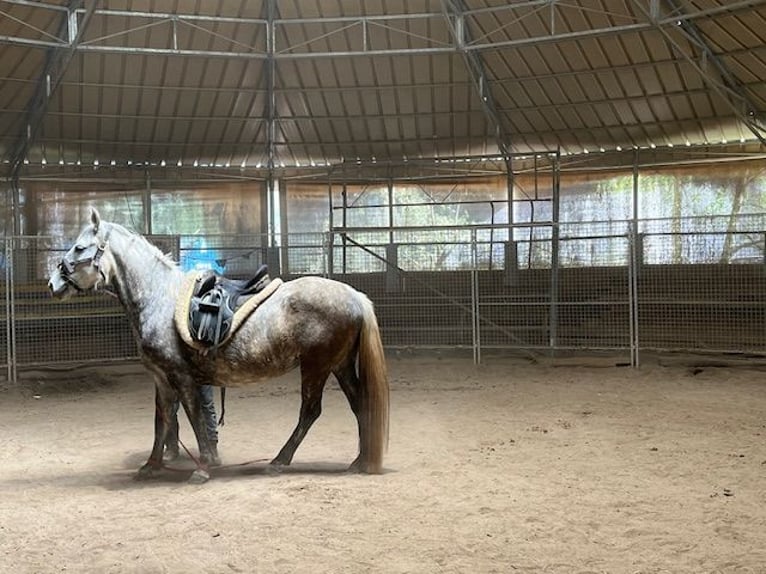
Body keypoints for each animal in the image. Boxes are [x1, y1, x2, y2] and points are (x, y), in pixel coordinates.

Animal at [48, 209, 390, 484]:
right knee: (360, 403)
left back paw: (280, 461)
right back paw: (359, 461)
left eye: (80, 247)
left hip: (317, 367)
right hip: (339, 365)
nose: (53, 283)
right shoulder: (161, 379)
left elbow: (194, 417)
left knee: (310, 411)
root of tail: (354, 296)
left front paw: (204, 467)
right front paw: (151, 465)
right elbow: (162, 421)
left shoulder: (182, 377)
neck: (159, 298)